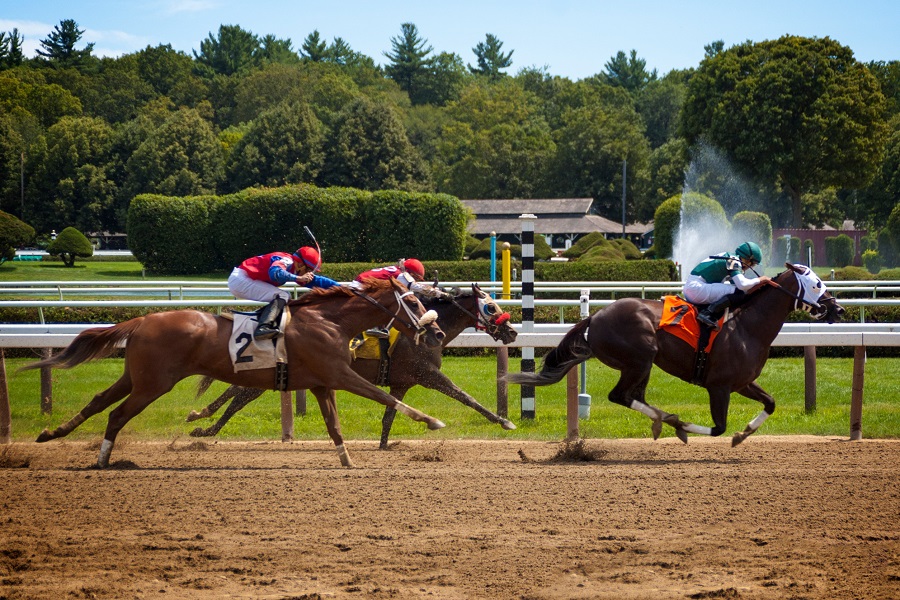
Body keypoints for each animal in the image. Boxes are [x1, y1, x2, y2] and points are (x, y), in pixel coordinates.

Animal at [25, 278, 450, 468]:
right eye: (414, 302)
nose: (438, 333)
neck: (330, 321)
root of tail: (142, 319)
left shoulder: (321, 383)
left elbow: (334, 426)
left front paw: (347, 461)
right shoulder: (339, 375)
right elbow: (386, 396)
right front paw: (432, 421)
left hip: (137, 377)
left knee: (99, 402)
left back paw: (52, 434)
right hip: (154, 383)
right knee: (116, 414)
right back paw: (101, 459)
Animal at [185, 284, 520, 448]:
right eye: (491, 307)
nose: (512, 332)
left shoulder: (402, 381)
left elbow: (390, 413)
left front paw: (384, 444)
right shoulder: (426, 374)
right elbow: (466, 397)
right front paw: (504, 421)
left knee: (237, 392)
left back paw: (202, 420)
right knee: (239, 397)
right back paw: (204, 425)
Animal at [506, 264, 844, 446]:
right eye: (817, 284)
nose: (838, 310)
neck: (747, 325)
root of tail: (596, 317)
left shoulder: (742, 382)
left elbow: (770, 403)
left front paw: (743, 434)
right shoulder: (719, 386)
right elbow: (718, 428)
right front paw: (688, 428)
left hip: (642, 365)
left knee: (634, 396)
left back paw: (663, 419)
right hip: (640, 358)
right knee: (621, 396)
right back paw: (670, 420)